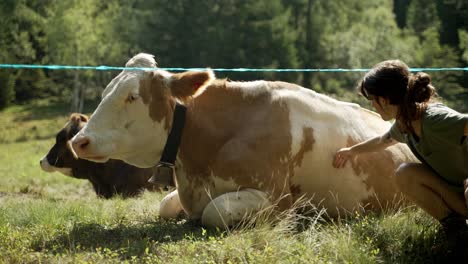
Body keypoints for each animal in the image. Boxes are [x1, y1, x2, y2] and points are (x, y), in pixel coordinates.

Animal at [70, 53, 416, 227]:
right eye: (107, 91)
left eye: (132, 96)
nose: (79, 141)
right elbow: (166, 206)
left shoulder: (278, 198)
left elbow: (215, 212)